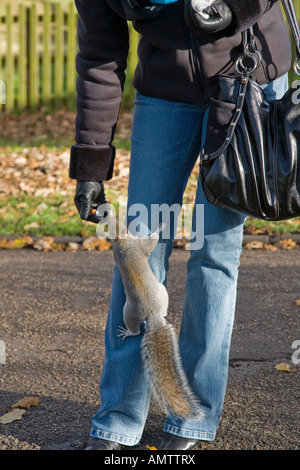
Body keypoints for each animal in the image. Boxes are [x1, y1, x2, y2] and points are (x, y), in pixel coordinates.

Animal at [108, 218, 204, 420]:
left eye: (116, 223)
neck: (120, 243)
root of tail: (152, 315)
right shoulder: (138, 246)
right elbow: (150, 242)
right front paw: (162, 226)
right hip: (143, 302)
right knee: (138, 328)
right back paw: (129, 331)